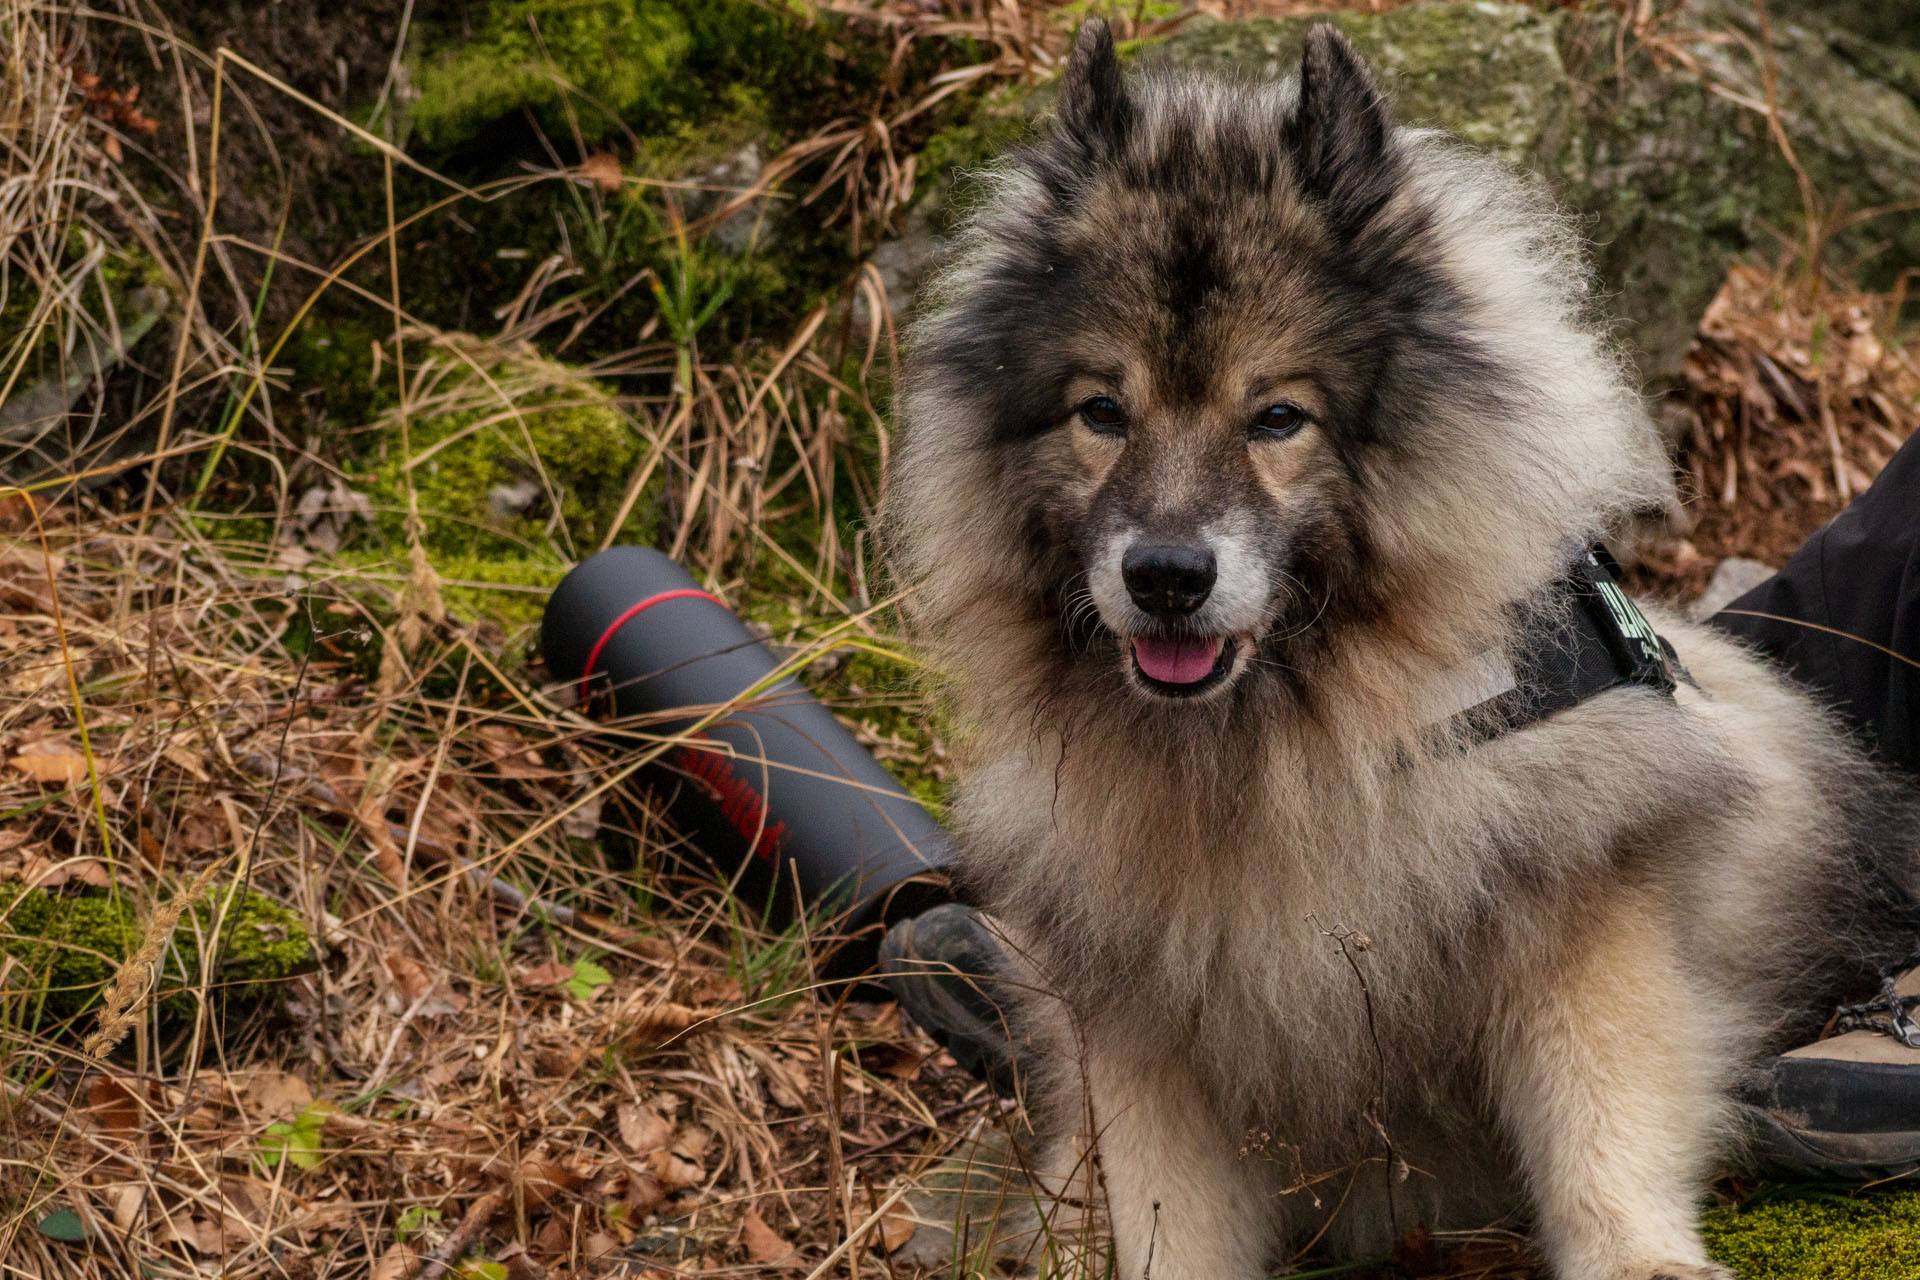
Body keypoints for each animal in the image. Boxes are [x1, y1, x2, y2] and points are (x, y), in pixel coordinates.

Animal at [887, 17, 1920, 1280]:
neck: (1289, 742)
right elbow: (1166, 1199)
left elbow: (1602, 1114)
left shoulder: (1586, 910)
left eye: (1278, 417)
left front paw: (1640, 1256)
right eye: (1102, 413)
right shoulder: (1142, 1011)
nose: (1166, 576)